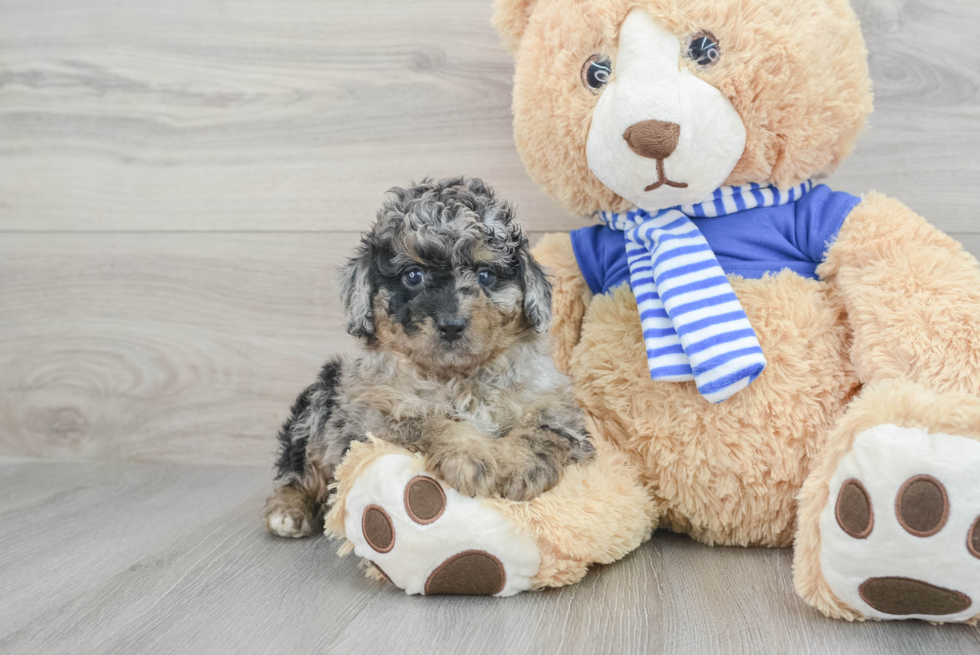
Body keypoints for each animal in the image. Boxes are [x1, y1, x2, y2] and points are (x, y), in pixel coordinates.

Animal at [262, 176, 596, 540]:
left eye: (485, 275)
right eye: (413, 275)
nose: (451, 325)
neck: (459, 377)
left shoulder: (556, 407)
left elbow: (542, 429)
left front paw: (521, 467)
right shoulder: (374, 418)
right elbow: (431, 421)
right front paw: (471, 457)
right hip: (321, 398)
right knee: (299, 466)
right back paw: (287, 510)